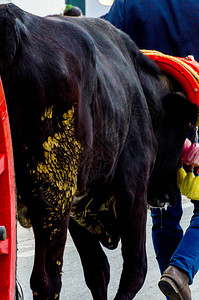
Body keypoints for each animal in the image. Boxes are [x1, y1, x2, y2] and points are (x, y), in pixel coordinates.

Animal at [0, 2, 196, 300]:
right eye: (185, 126)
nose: (170, 196)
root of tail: (10, 24)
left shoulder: (77, 206)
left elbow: (97, 271)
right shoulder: (133, 188)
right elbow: (135, 269)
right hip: (53, 193)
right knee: (46, 280)